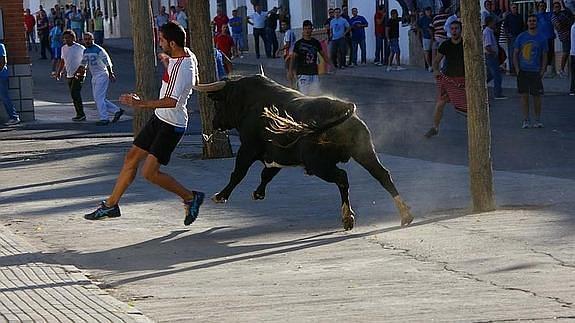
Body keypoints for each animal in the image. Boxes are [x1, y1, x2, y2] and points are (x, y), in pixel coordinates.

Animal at [195, 75, 414, 230]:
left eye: (218, 103)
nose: (214, 123)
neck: (248, 102)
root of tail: (341, 108)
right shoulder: (278, 155)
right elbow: (267, 174)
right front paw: (258, 193)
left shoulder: (248, 148)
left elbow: (238, 173)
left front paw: (221, 196)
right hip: (364, 151)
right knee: (382, 175)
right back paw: (405, 214)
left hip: (319, 164)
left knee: (342, 178)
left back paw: (348, 217)